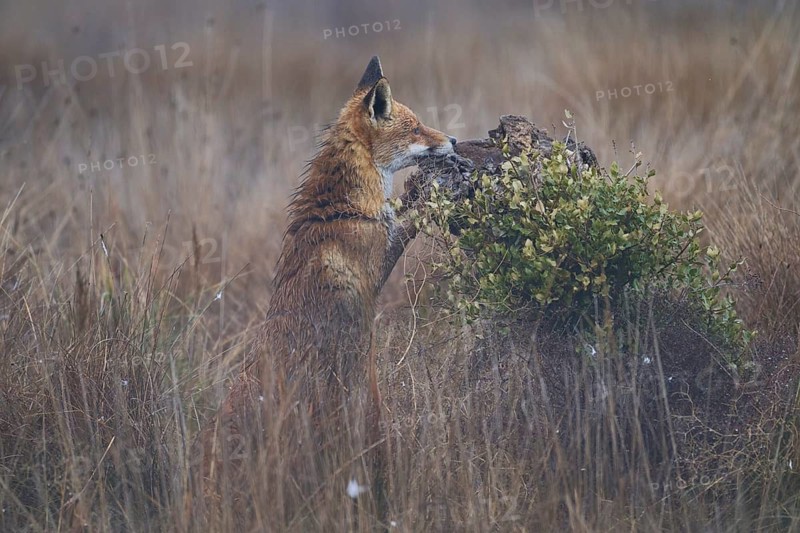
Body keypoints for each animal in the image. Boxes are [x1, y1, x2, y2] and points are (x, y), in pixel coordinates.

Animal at [193, 56, 456, 527]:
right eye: (415, 128)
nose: (456, 140)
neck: (343, 207)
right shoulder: (380, 260)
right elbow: (411, 216)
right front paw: (435, 190)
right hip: (368, 421)